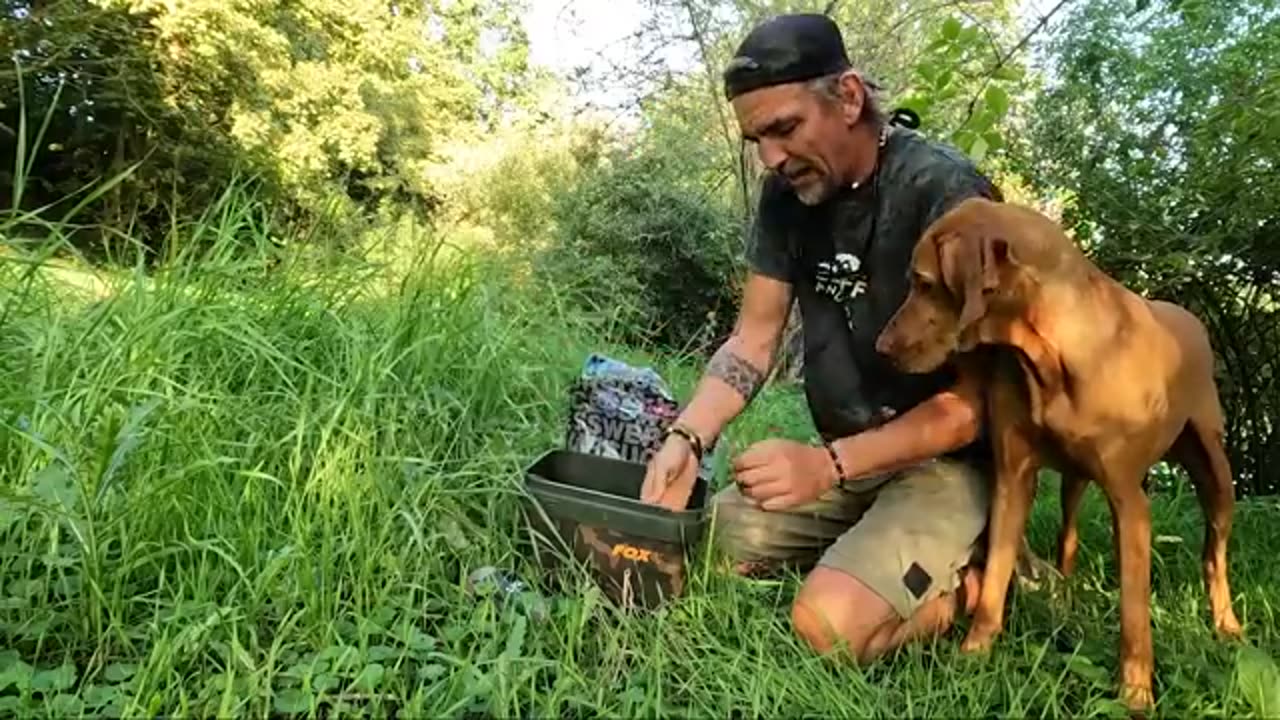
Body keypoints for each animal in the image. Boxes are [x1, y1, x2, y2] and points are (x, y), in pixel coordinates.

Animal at [875, 197, 1244, 712]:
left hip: (1216, 472)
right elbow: (994, 578)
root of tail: (1191, 318)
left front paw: (1135, 695)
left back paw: (1226, 625)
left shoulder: (1131, 502)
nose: (881, 347)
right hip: (1074, 479)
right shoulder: (1013, 478)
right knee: (1067, 535)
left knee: (1215, 554)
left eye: (923, 282)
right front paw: (973, 656)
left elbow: (1134, 614)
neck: (1052, 351)